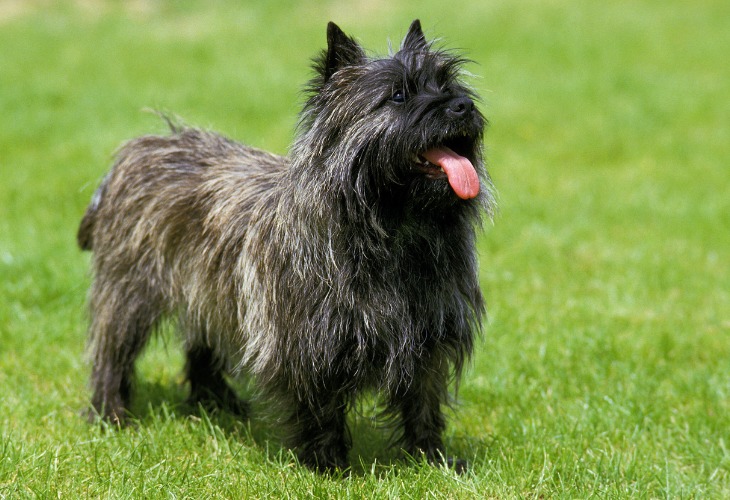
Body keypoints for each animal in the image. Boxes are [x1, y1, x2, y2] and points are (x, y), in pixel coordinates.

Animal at [77, 20, 492, 472]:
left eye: (446, 83)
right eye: (398, 95)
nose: (462, 106)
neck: (394, 229)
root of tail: (136, 150)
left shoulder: (430, 334)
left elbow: (423, 400)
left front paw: (432, 459)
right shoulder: (306, 340)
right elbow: (319, 403)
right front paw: (327, 464)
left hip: (207, 292)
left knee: (202, 345)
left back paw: (215, 403)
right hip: (128, 294)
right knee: (111, 352)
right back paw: (110, 415)